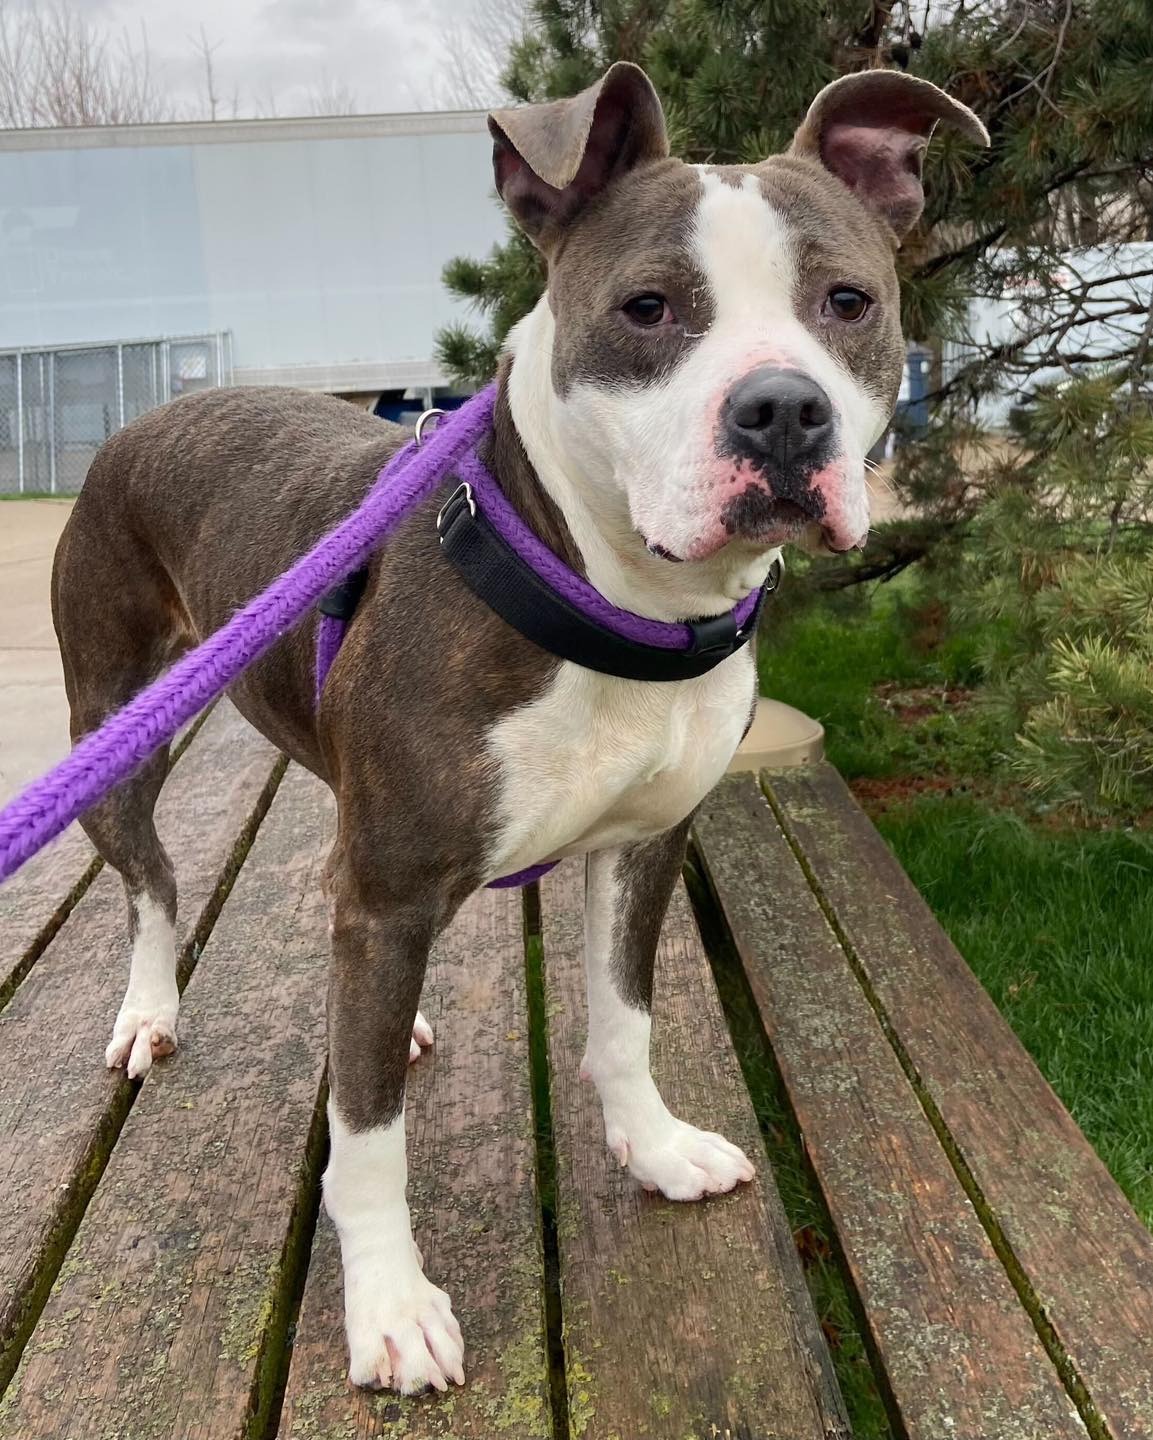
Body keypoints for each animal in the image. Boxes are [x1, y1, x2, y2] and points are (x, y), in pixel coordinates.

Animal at [53, 61, 984, 1388]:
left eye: (847, 301)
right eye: (648, 308)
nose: (782, 410)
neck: (615, 607)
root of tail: (140, 418)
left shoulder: (641, 847)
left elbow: (626, 1019)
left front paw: (654, 1149)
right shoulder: (394, 891)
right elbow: (369, 1139)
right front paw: (389, 1304)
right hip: (114, 739)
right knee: (151, 884)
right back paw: (150, 1013)